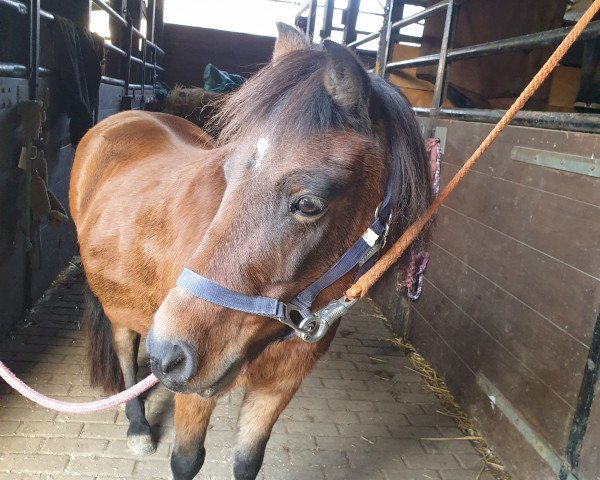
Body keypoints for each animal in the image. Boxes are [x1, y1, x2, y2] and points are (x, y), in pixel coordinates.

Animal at [70, 23, 432, 480]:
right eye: (228, 174)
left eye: (308, 203)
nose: (169, 355)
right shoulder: (196, 393)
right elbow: (186, 460)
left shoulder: (277, 390)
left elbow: (248, 462)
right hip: (119, 311)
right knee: (124, 352)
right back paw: (137, 425)